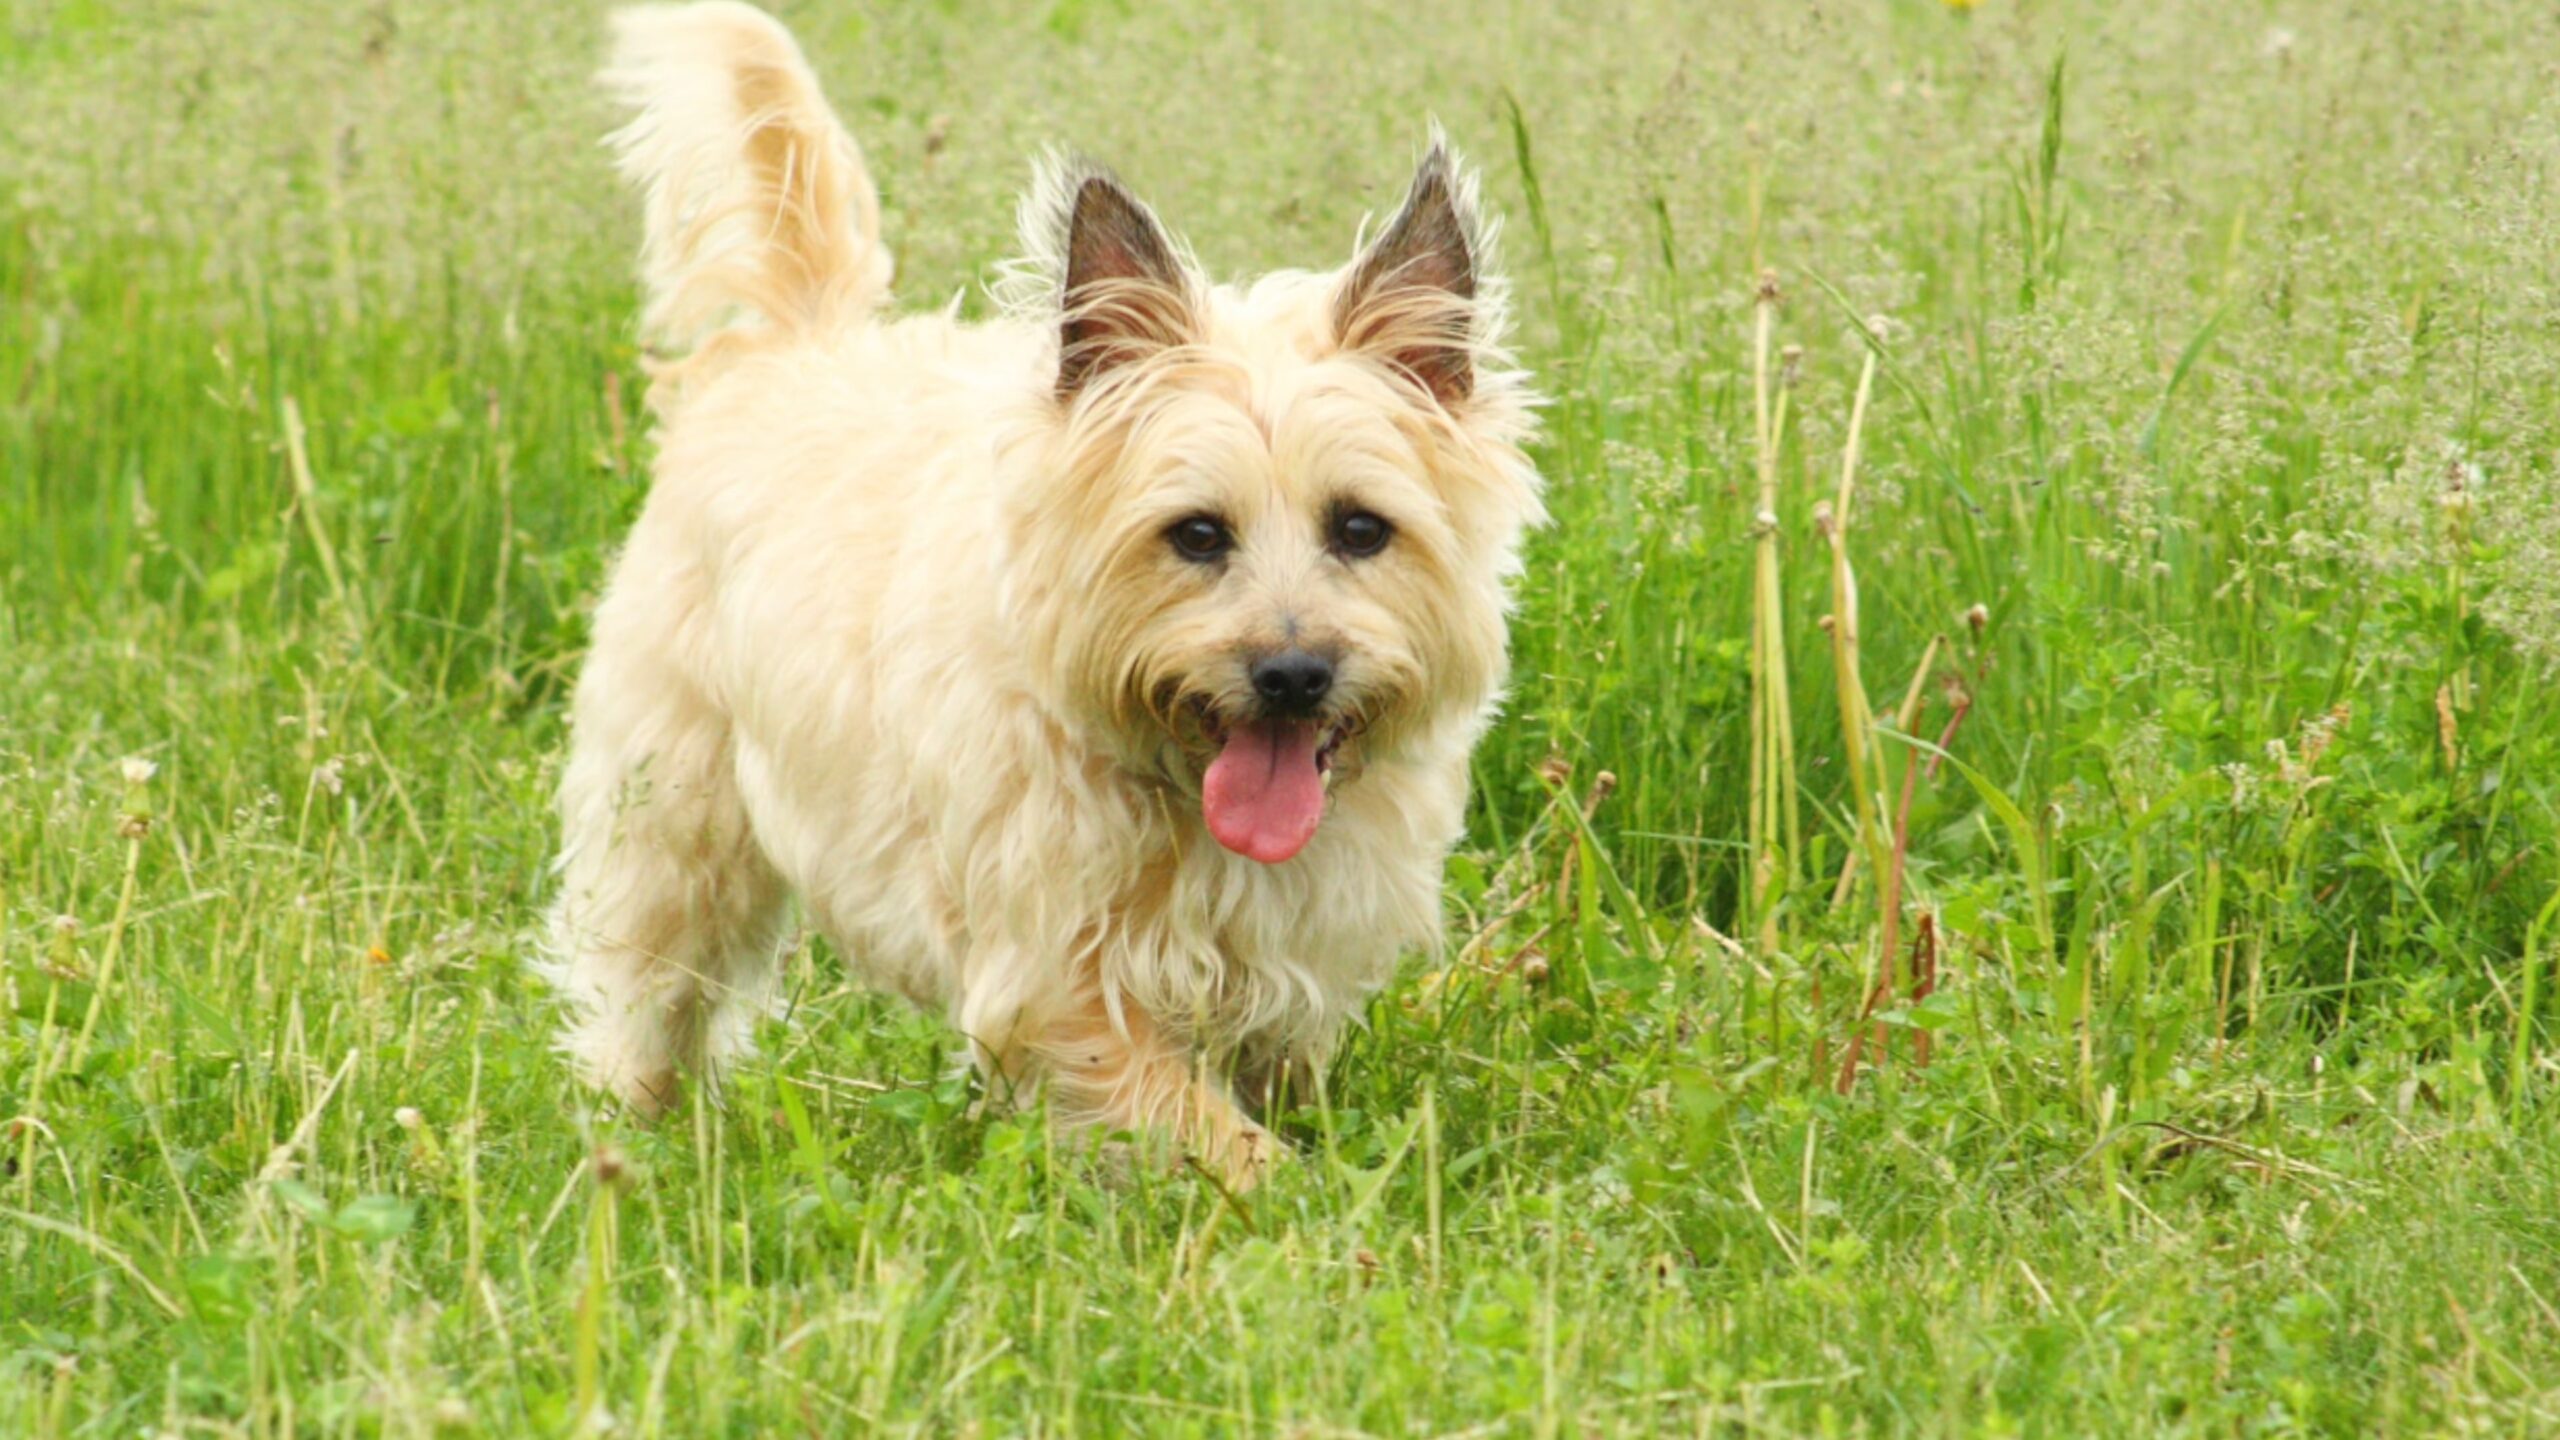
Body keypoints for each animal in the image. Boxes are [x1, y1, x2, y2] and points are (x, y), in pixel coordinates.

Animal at [545, 2, 1536, 1188]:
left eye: (1360, 528)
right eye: (1195, 534)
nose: (1293, 674)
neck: (1175, 788)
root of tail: (791, 344)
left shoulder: (1298, 954)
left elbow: (1272, 1075)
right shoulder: (1057, 977)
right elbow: (1202, 1126)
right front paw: (1298, 1201)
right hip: (675, 811)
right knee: (648, 983)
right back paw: (632, 1132)